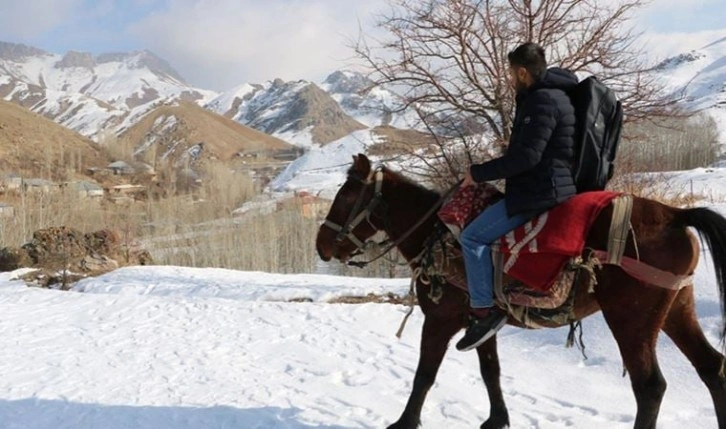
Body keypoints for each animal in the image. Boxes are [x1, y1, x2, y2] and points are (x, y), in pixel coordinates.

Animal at [318, 154, 726, 428]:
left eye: (345, 197)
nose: (321, 245)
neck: (437, 233)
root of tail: (675, 216)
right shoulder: (480, 324)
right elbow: (491, 372)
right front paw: (496, 419)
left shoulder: (440, 320)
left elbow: (424, 375)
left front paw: (404, 422)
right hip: (676, 309)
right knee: (711, 367)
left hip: (631, 320)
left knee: (650, 387)